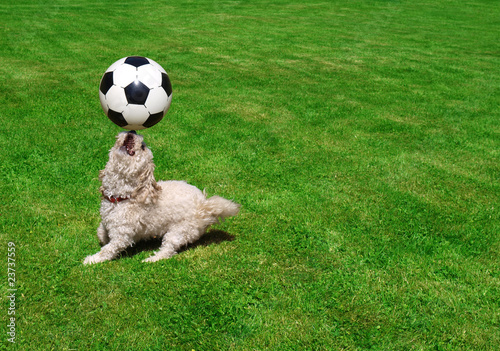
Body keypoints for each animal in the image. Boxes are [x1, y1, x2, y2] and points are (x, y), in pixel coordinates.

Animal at [83, 131, 239, 266]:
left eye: (142, 147)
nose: (132, 131)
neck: (122, 196)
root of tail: (205, 206)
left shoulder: (122, 235)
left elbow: (108, 249)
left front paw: (92, 260)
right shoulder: (107, 221)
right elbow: (101, 232)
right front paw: (103, 239)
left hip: (180, 230)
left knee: (168, 250)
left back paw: (152, 259)